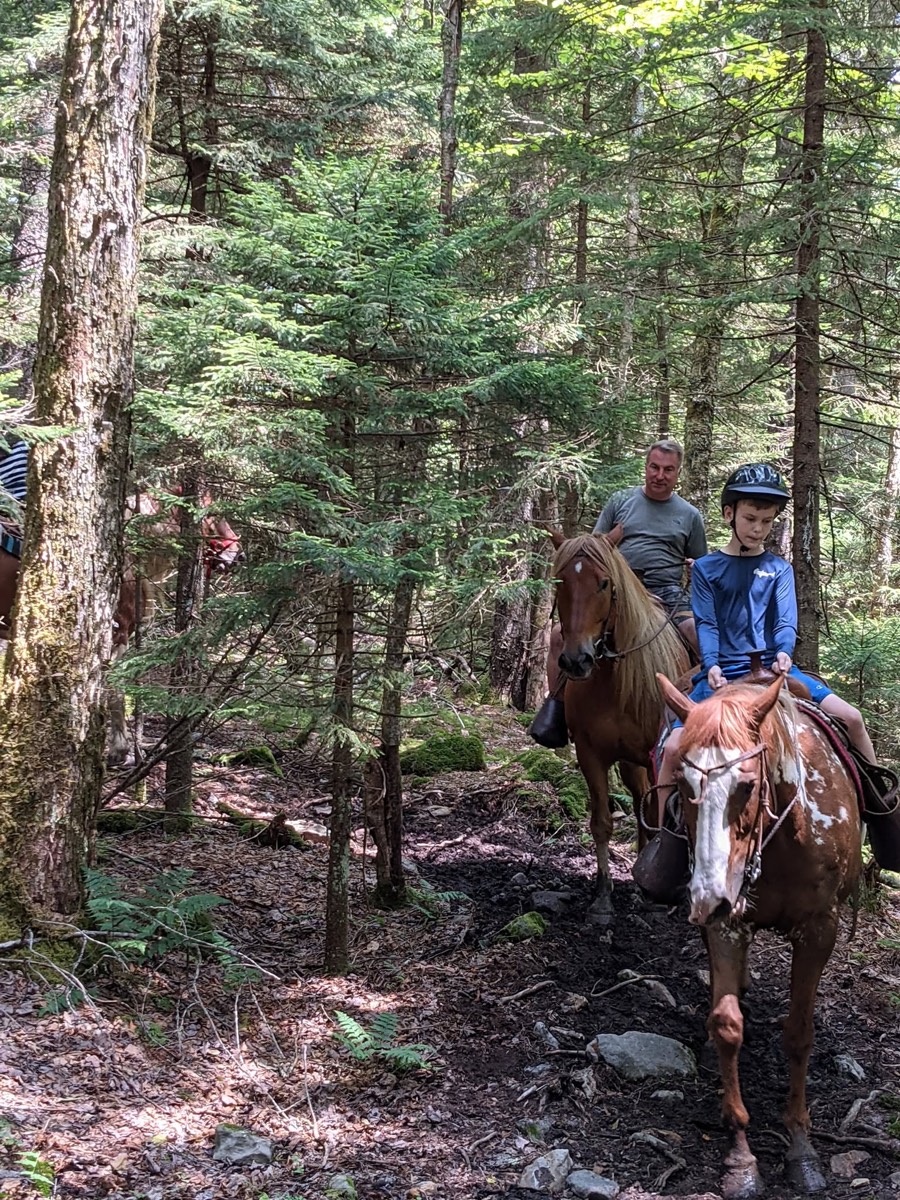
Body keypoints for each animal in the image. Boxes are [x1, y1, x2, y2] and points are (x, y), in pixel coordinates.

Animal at [548, 530, 691, 924]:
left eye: (604, 583)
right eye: (560, 582)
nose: (576, 660)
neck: (616, 680)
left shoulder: (659, 755)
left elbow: (658, 816)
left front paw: (657, 893)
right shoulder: (590, 754)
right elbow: (602, 822)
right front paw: (602, 898)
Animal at [656, 672, 863, 1200]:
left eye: (746, 785)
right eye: (682, 784)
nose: (706, 896)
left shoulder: (819, 929)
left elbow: (798, 1032)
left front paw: (800, 1145)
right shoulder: (726, 924)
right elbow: (727, 1025)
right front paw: (741, 1156)